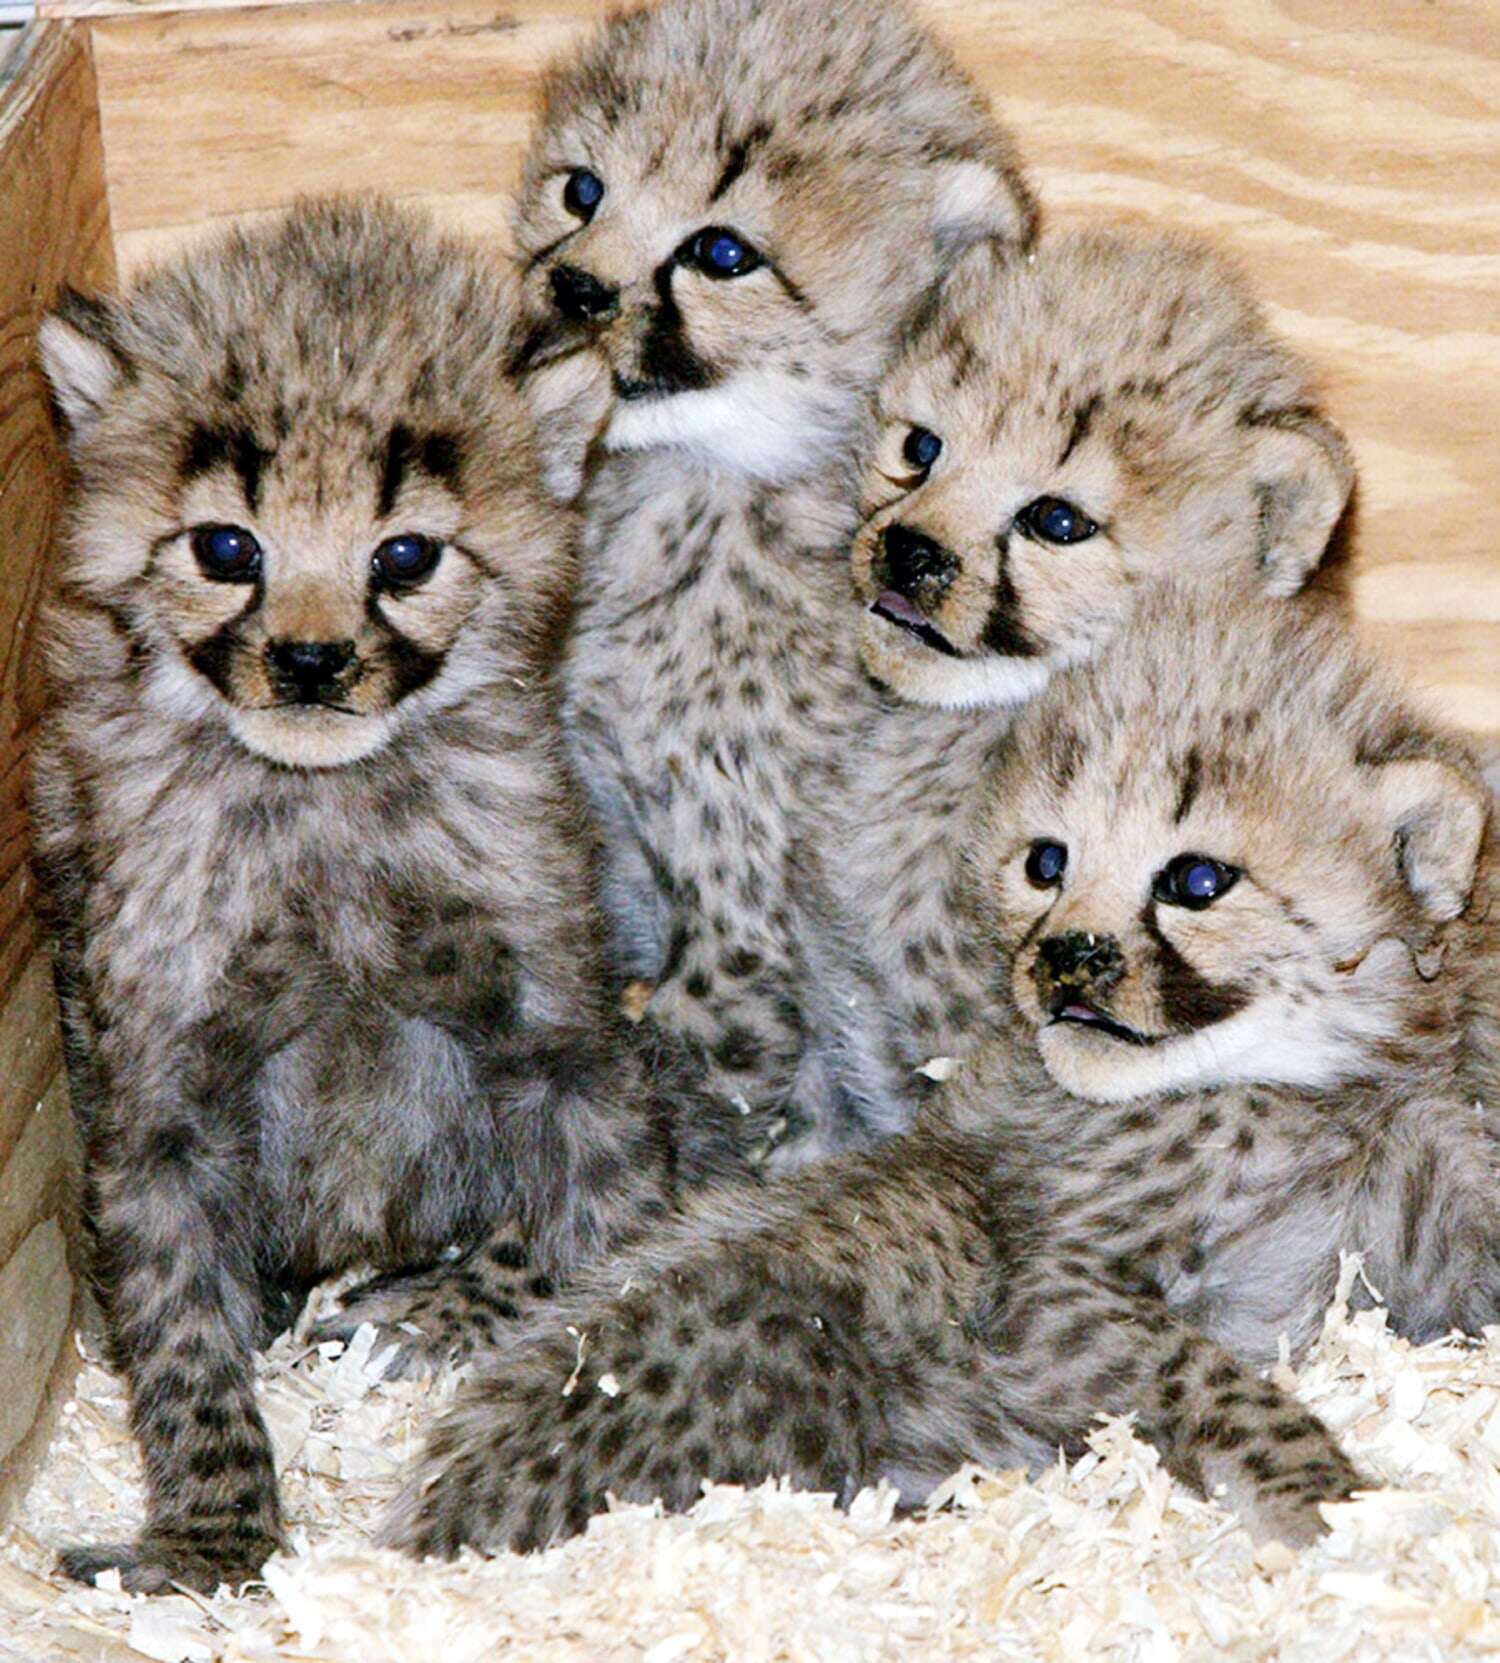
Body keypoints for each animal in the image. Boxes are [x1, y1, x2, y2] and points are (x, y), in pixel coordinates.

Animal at [30, 196, 698, 1594]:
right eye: (228, 546)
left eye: (406, 555)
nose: (312, 661)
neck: (324, 812)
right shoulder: (155, 1095)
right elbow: (182, 1329)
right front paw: (212, 1535)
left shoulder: (562, 1032)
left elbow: (603, 1222)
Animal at [381, 582, 1492, 1562]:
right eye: (1046, 862)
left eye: (1197, 879)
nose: (1067, 958)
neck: (1299, 1087)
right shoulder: (1057, 1292)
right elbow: (1206, 1375)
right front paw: (1322, 1491)